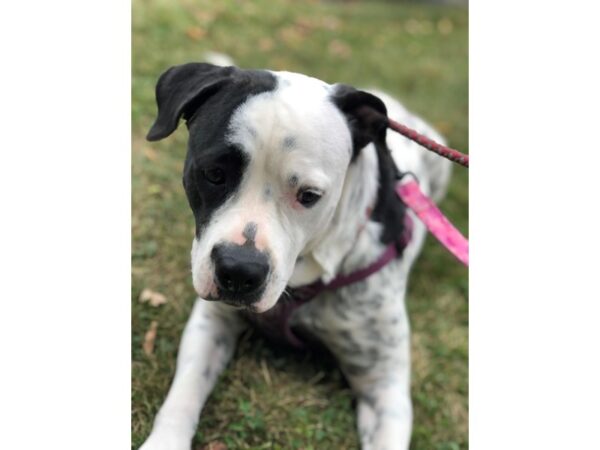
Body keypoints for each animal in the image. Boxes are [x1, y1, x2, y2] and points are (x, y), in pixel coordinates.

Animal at [139, 59, 450, 450]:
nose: (239, 271)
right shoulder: (211, 322)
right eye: (213, 173)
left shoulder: (384, 384)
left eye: (309, 195)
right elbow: (183, 394)